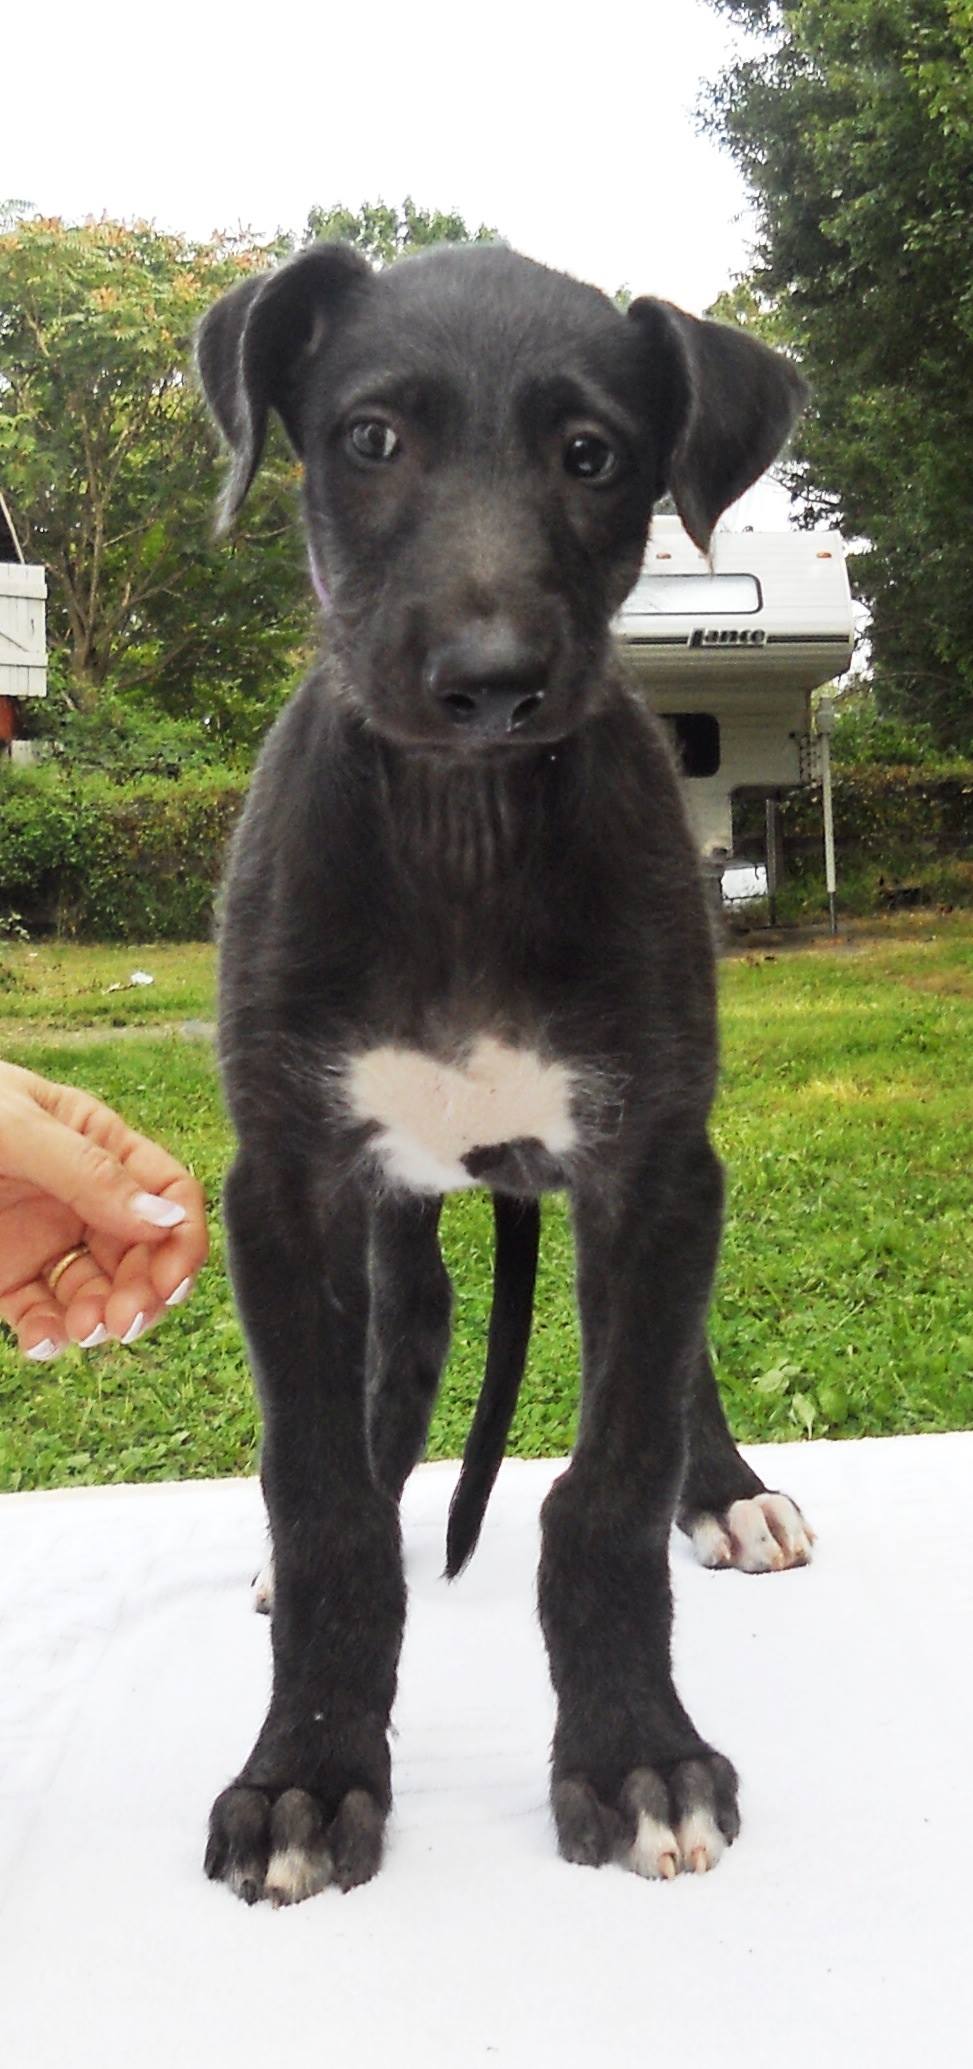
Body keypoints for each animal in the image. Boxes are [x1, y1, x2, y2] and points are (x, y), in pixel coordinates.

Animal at [196, 241, 813, 1905]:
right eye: (370, 437)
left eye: (592, 455)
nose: (488, 681)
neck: (464, 838)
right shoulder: (283, 1179)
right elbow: (322, 1499)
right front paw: (305, 1775)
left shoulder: (654, 1162)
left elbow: (607, 1479)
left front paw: (638, 1756)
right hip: (393, 1208)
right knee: (398, 1349)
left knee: (668, 1367)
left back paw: (725, 1489)